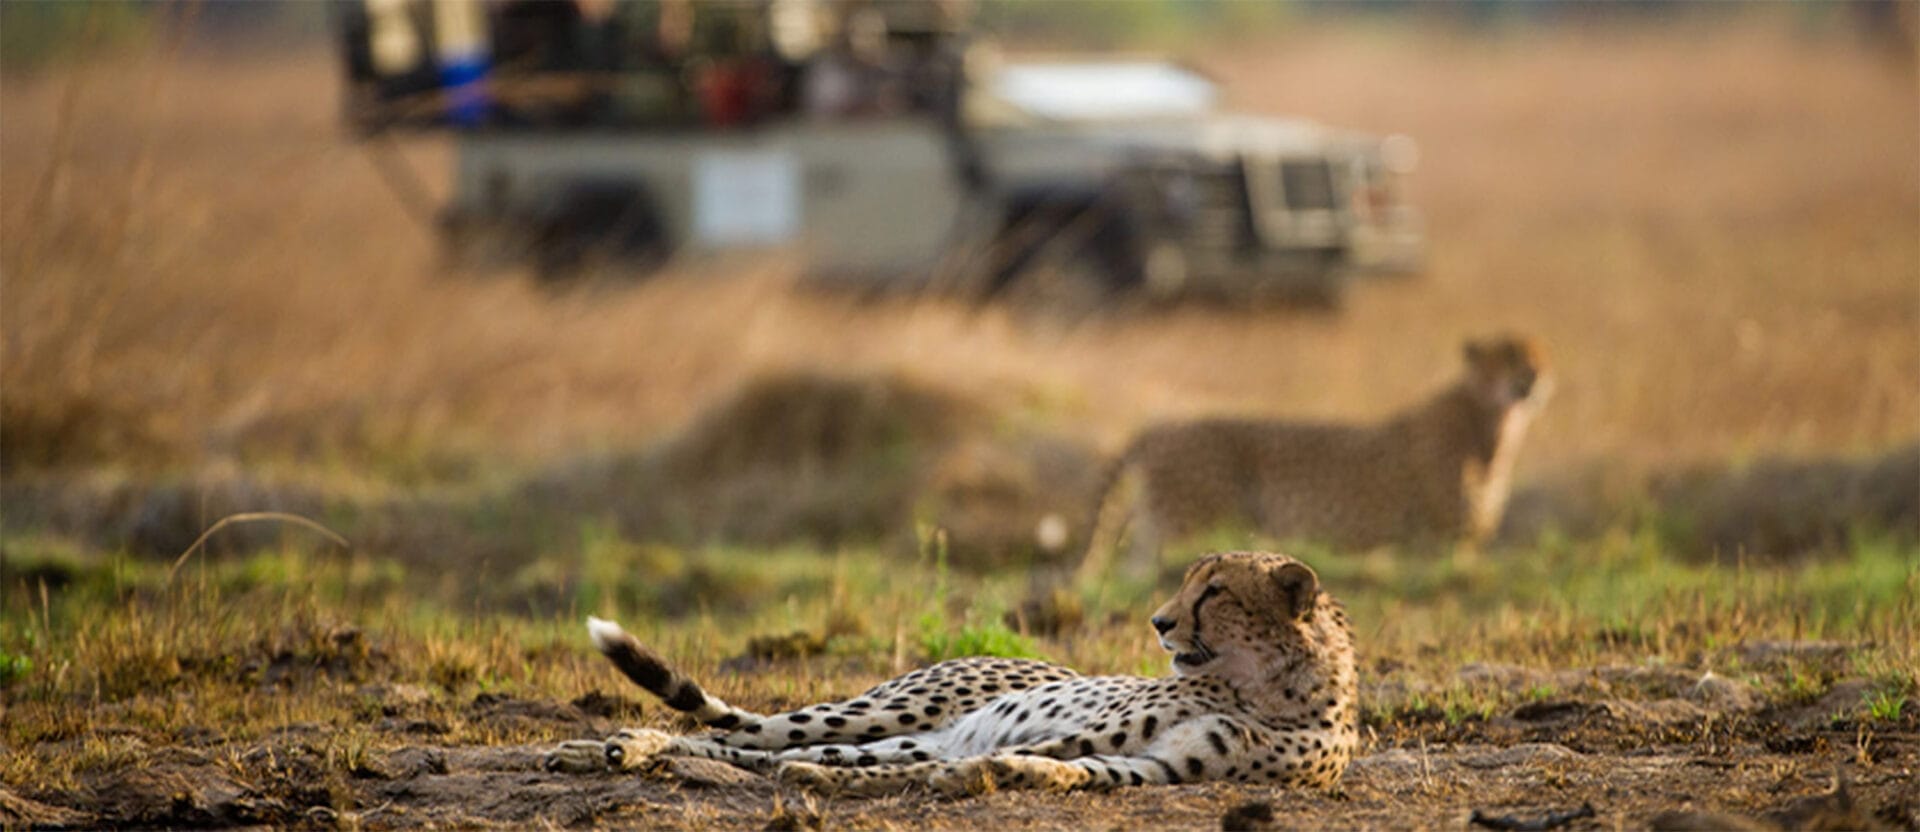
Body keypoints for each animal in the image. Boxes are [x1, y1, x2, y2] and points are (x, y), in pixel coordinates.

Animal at [543, 550, 1358, 797]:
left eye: (1215, 591)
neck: (1271, 688)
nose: (1159, 622)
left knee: (759, 750)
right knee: (761, 736)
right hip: (886, 712)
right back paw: (613, 747)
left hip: (902, 730)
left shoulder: (1161, 766)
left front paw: (990, 777)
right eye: (1193, 583)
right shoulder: (1098, 733)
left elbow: (1068, 771)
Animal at [1078, 333, 1551, 583]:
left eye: (1537, 357)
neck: (1492, 421)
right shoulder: (1443, 541)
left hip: (1157, 525)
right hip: (1184, 524)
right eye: (1509, 357)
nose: (1535, 377)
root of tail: (1156, 427)